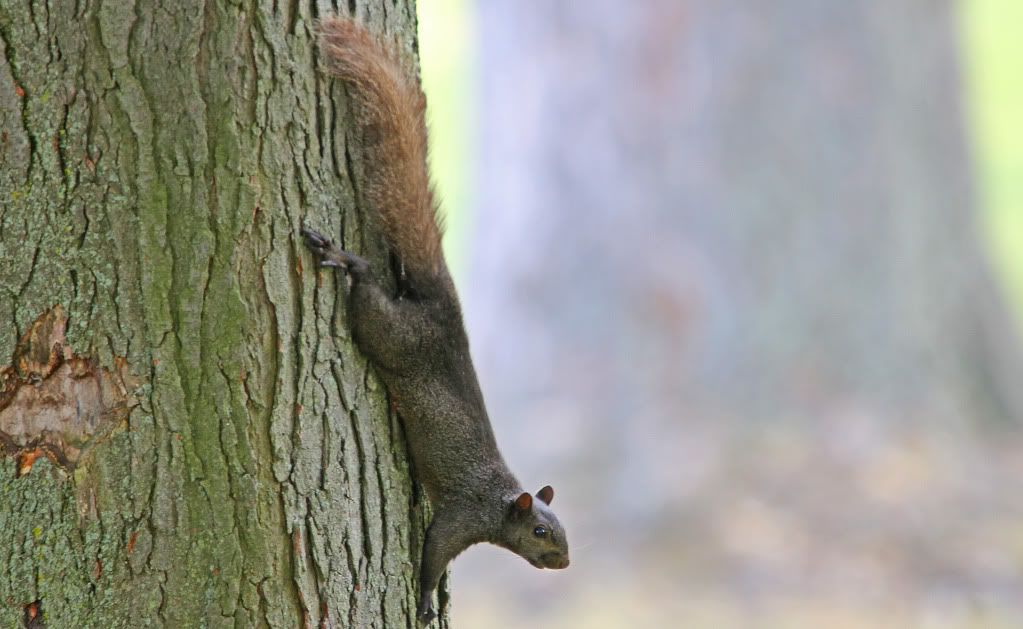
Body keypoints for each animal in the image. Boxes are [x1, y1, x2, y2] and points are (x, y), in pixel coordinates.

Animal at [303, 16, 570, 625]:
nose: (566, 562)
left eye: (562, 528)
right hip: (387, 331)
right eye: (541, 532)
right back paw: (343, 259)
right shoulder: (461, 515)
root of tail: (444, 307)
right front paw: (425, 599)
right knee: (367, 290)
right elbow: (433, 554)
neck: (499, 499)